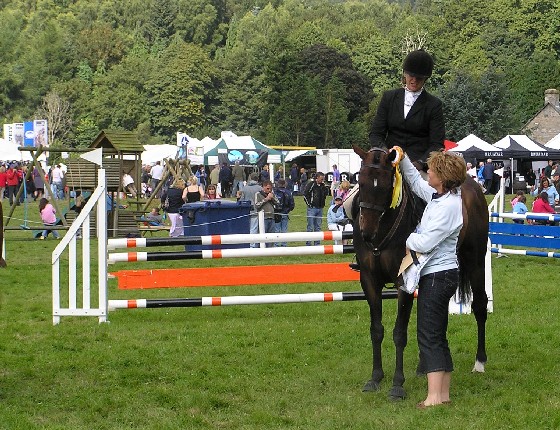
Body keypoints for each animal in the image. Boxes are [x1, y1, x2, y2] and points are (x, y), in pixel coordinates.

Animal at [352, 145, 488, 400]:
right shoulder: (369, 281)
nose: (367, 233)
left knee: (480, 306)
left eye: (385, 185)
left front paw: (397, 384)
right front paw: (375, 378)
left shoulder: (403, 282)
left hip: (475, 262)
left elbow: (399, 333)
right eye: (361, 182)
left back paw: (480, 362)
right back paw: (425, 366)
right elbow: (376, 330)